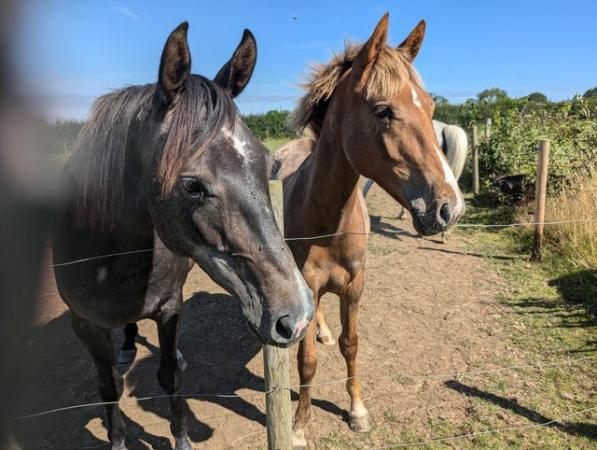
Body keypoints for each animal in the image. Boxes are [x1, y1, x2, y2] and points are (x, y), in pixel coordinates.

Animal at [52, 22, 312, 450]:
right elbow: (108, 388)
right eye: (193, 186)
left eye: (268, 164)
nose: (298, 314)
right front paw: (118, 438)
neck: (107, 258)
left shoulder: (170, 307)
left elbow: (169, 377)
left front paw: (181, 437)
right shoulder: (84, 324)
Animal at [272, 14, 464, 446]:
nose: (450, 207)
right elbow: (306, 362)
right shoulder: (308, 286)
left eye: (430, 106)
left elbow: (352, 345)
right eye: (383, 111)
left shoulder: (356, 287)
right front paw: (299, 426)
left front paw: (357, 411)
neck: (328, 225)